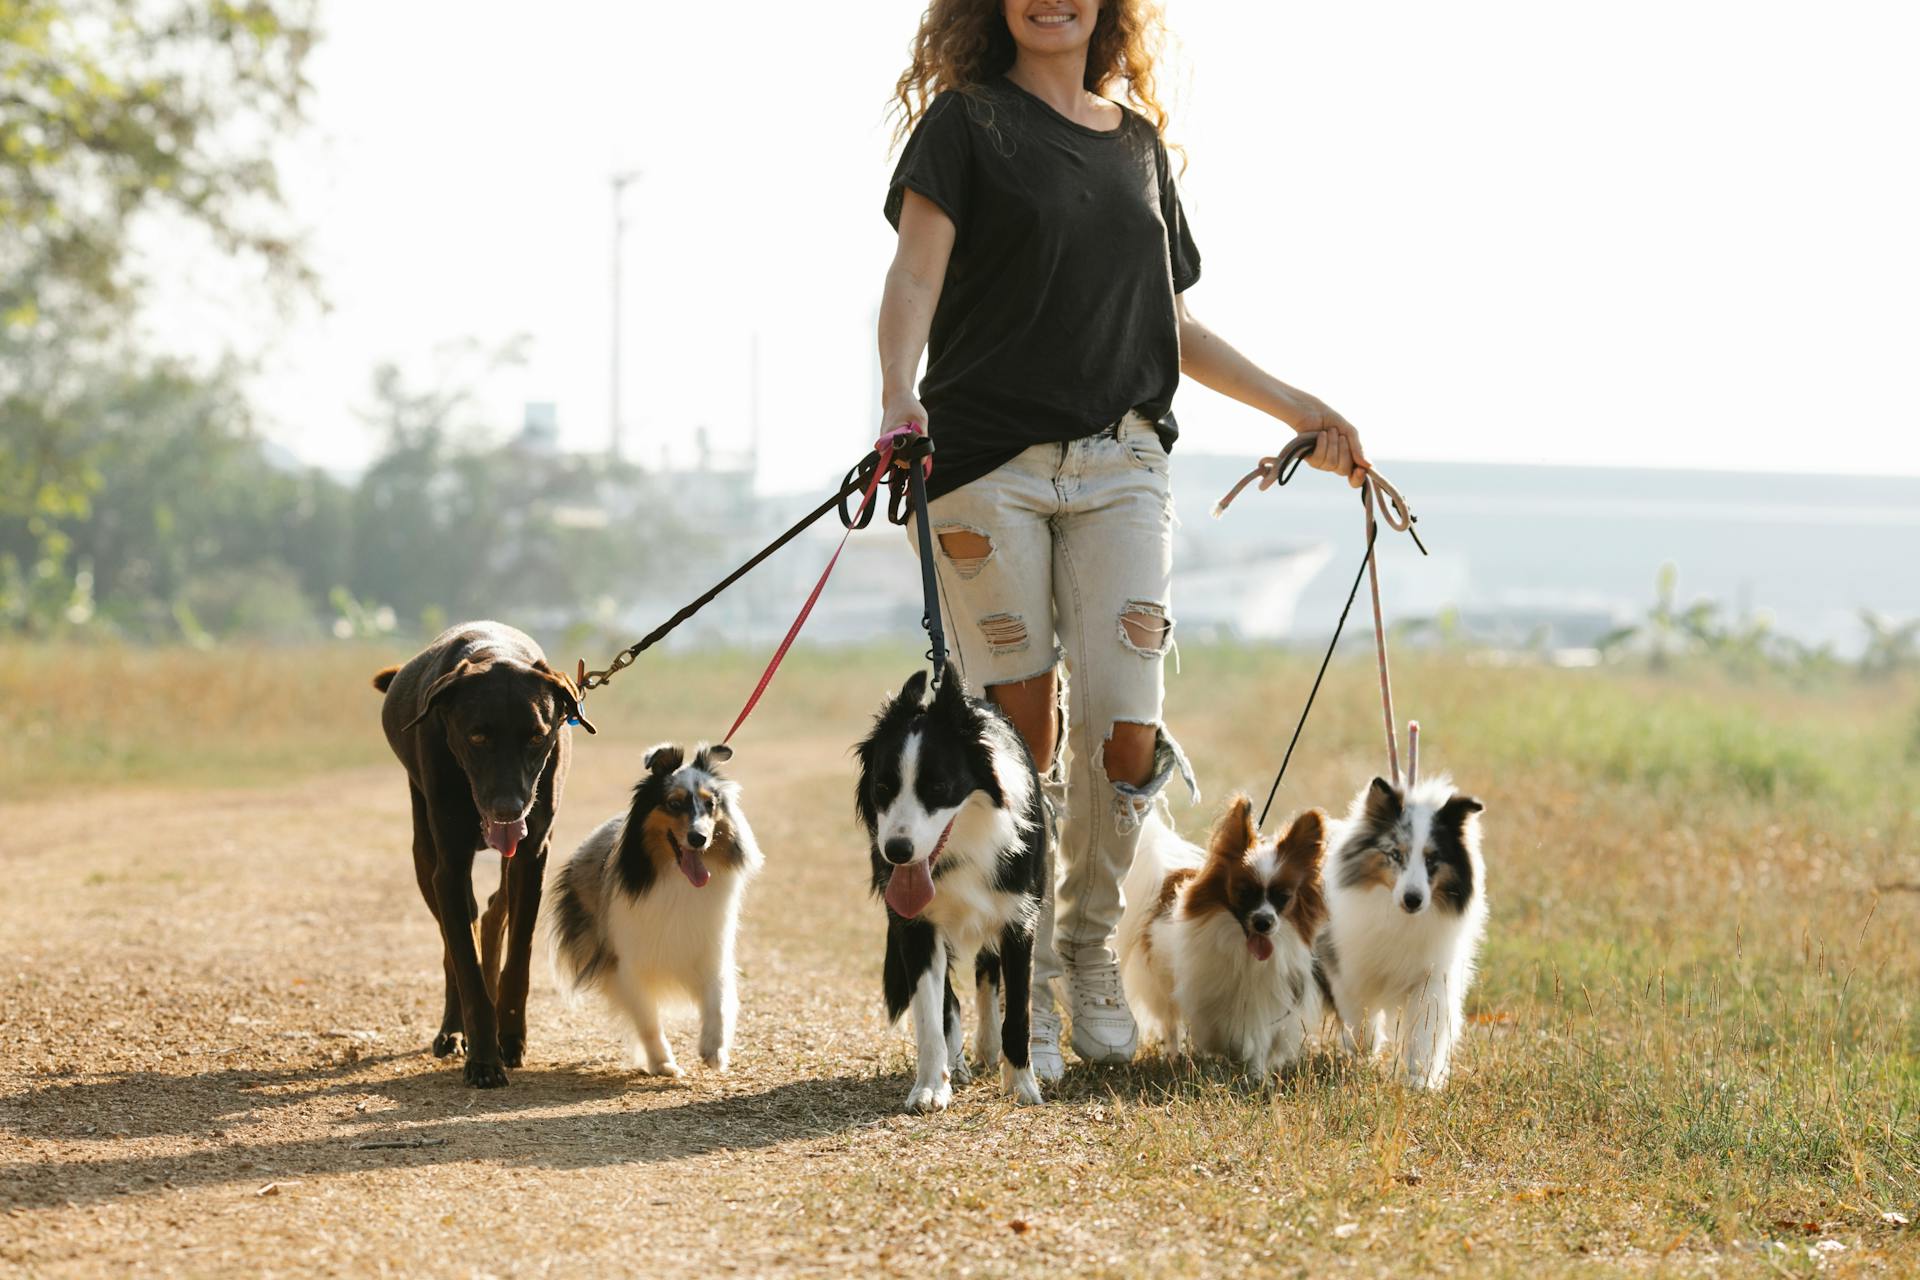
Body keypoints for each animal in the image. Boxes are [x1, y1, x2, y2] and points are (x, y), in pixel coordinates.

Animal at [368, 617, 591, 1082]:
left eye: (536, 737)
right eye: (477, 737)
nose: (507, 808)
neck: (496, 653)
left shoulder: (532, 854)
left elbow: (518, 955)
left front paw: (511, 1037)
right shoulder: (450, 866)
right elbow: (464, 964)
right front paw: (484, 1058)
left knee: (491, 912)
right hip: (425, 847)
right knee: (456, 936)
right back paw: (454, 1030)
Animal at [545, 744, 760, 1074]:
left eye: (710, 804)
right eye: (674, 803)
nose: (699, 838)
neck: (675, 878)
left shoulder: (710, 950)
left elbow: (718, 1000)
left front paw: (714, 1050)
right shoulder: (628, 964)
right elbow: (647, 1020)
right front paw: (663, 1063)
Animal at [860, 667, 1052, 1113]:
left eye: (937, 787)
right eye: (882, 788)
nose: (896, 852)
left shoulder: (1020, 917)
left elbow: (1018, 1009)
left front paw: (1021, 1086)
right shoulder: (916, 925)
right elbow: (929, 1012)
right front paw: (931, 1087)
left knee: (987, 972)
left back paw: (988, 1047)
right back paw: (958, 1062)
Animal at [1121, 802, 1328, 1082]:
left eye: (1283, 897)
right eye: (1244, 892)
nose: (1264, 922)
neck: (1244, 950)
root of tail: (1169, 876)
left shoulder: (1265, 1002)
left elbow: (1259, 1040)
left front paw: (1257, 1075)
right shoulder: (1206, 993)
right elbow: (1214, 1029)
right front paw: (1223, 1051)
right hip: (1160, 985)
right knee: (1170, 1023)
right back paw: (1174, 1056)